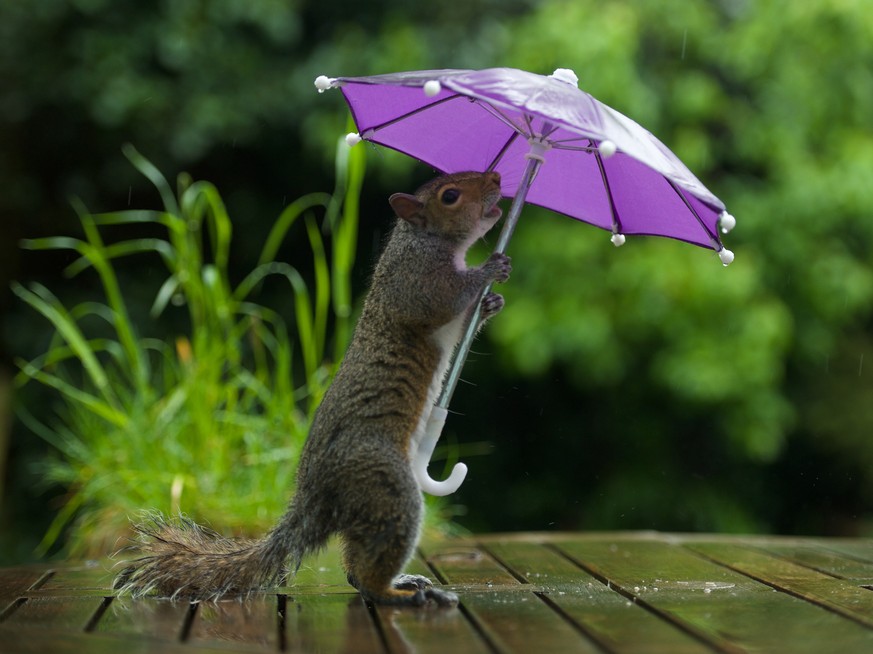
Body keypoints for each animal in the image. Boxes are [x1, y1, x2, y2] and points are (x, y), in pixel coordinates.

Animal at [116, 170, 510, 608]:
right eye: (450, 195)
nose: (496, 177)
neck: (423, 240)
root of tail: (317, 496)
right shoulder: (414, 282)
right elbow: (443, 299)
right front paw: (489, 269)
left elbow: (460, 326)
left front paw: (491, 303)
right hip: (384, 482)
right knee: (371, 570)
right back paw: (402, 594)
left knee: (357, 565)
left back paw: (401, 582)